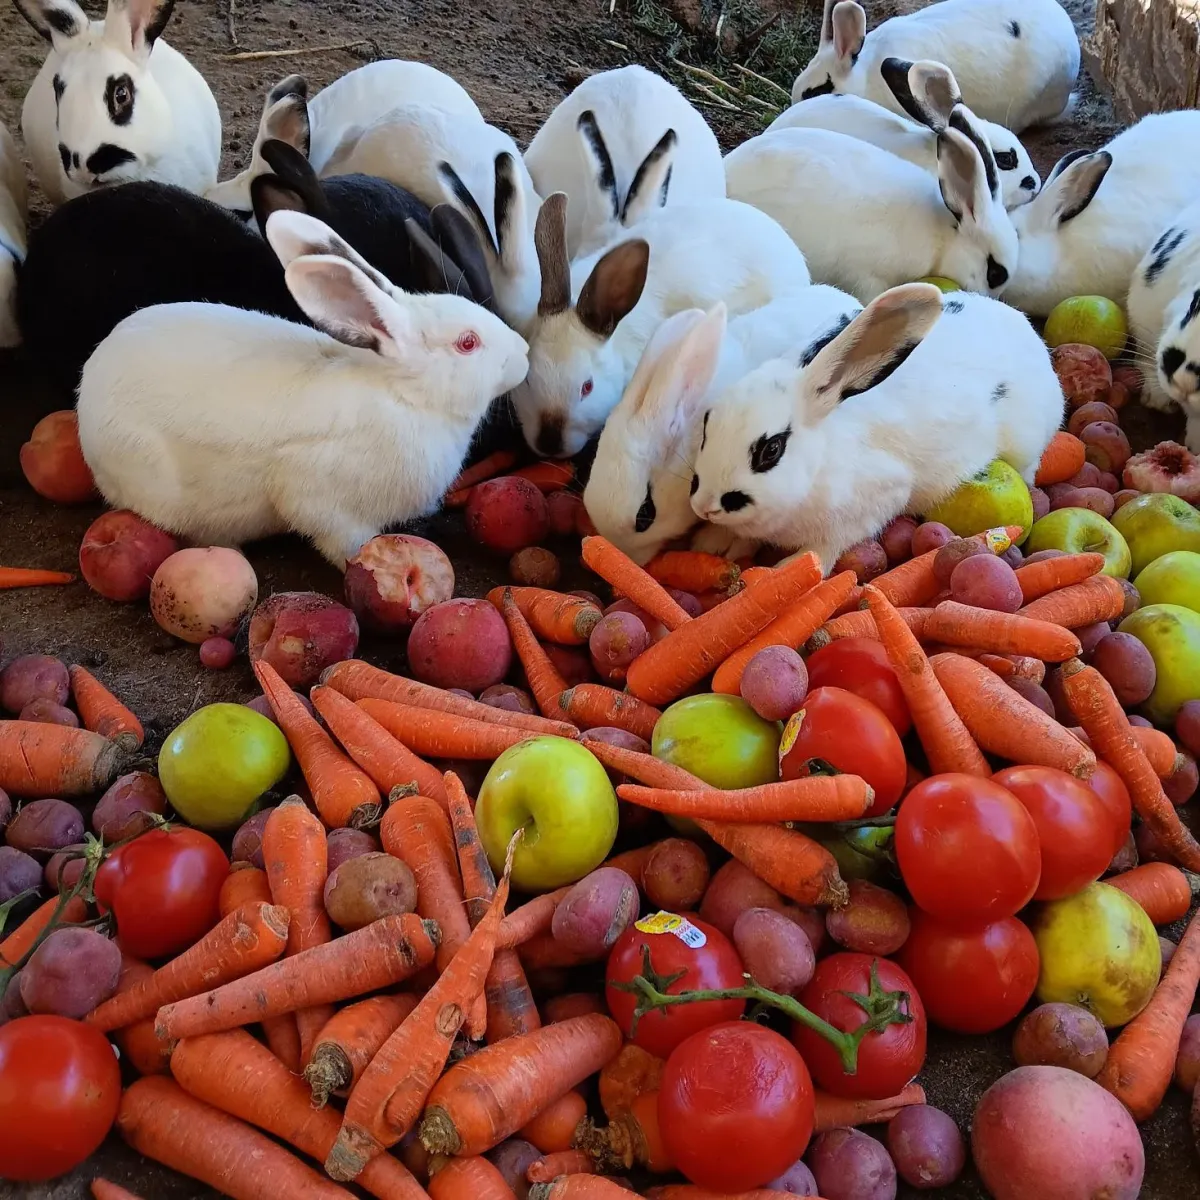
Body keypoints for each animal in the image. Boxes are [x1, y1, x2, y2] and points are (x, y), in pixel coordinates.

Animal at [689, 283, 1063, 571]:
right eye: (707, 422)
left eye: (771, 449)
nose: (704, 506)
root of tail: (1025, 329)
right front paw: (712, 544)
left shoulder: (873, 503)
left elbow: (822, 551)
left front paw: (784, 570)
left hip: (1025, 447)